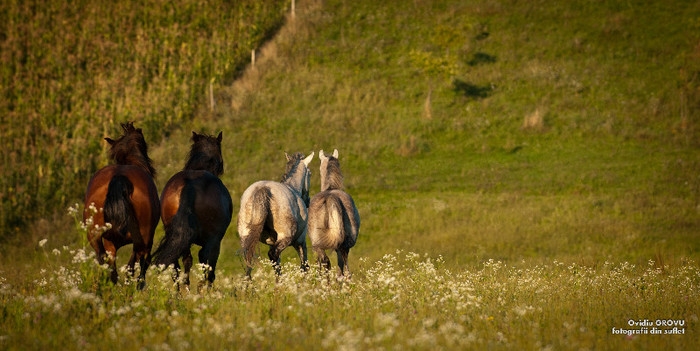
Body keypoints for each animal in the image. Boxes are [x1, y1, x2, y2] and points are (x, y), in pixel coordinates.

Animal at [82, 122, 159, 290]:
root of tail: (119, 177)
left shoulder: (110, 245)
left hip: (95, 238)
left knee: (107, 265)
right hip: (143, 242)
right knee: (135, 267)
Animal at [153, 131, 232, 290]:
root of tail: (189, 184)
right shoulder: (215, 239)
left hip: (176, 236)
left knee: (178, 263)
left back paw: (181, 289)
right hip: (213, 239)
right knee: (205, 260)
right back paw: (202, 287)